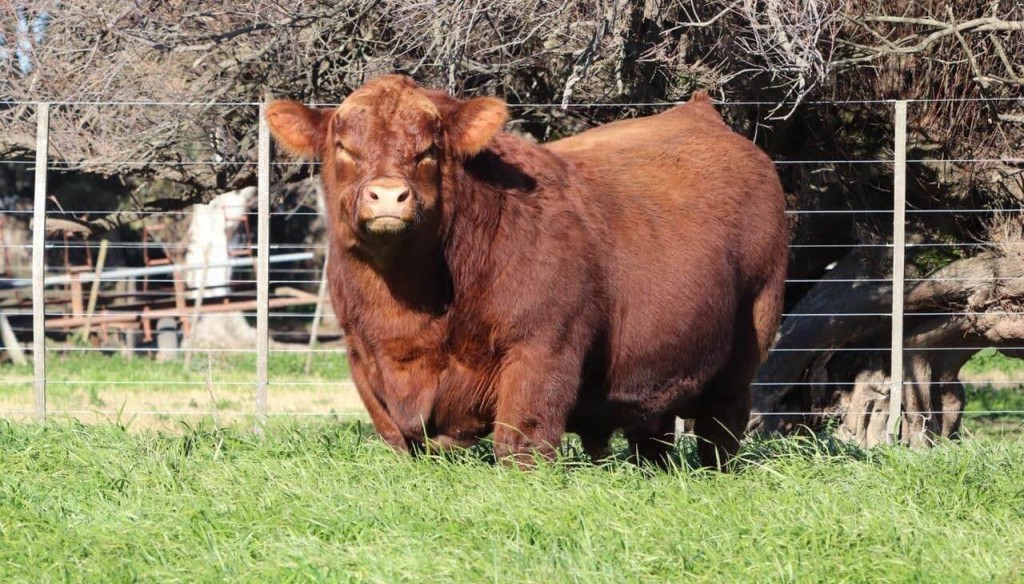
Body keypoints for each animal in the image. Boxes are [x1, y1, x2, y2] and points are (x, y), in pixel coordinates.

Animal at [265, 75, 787, 468]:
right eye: (343, 146)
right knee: (652, 433)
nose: (389, 195)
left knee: (721, 426)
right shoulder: (363, 358)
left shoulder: (543, 350)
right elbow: (400, 442)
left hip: (749, 336)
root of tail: (699, 112)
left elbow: (522, 445)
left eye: (430, 149)